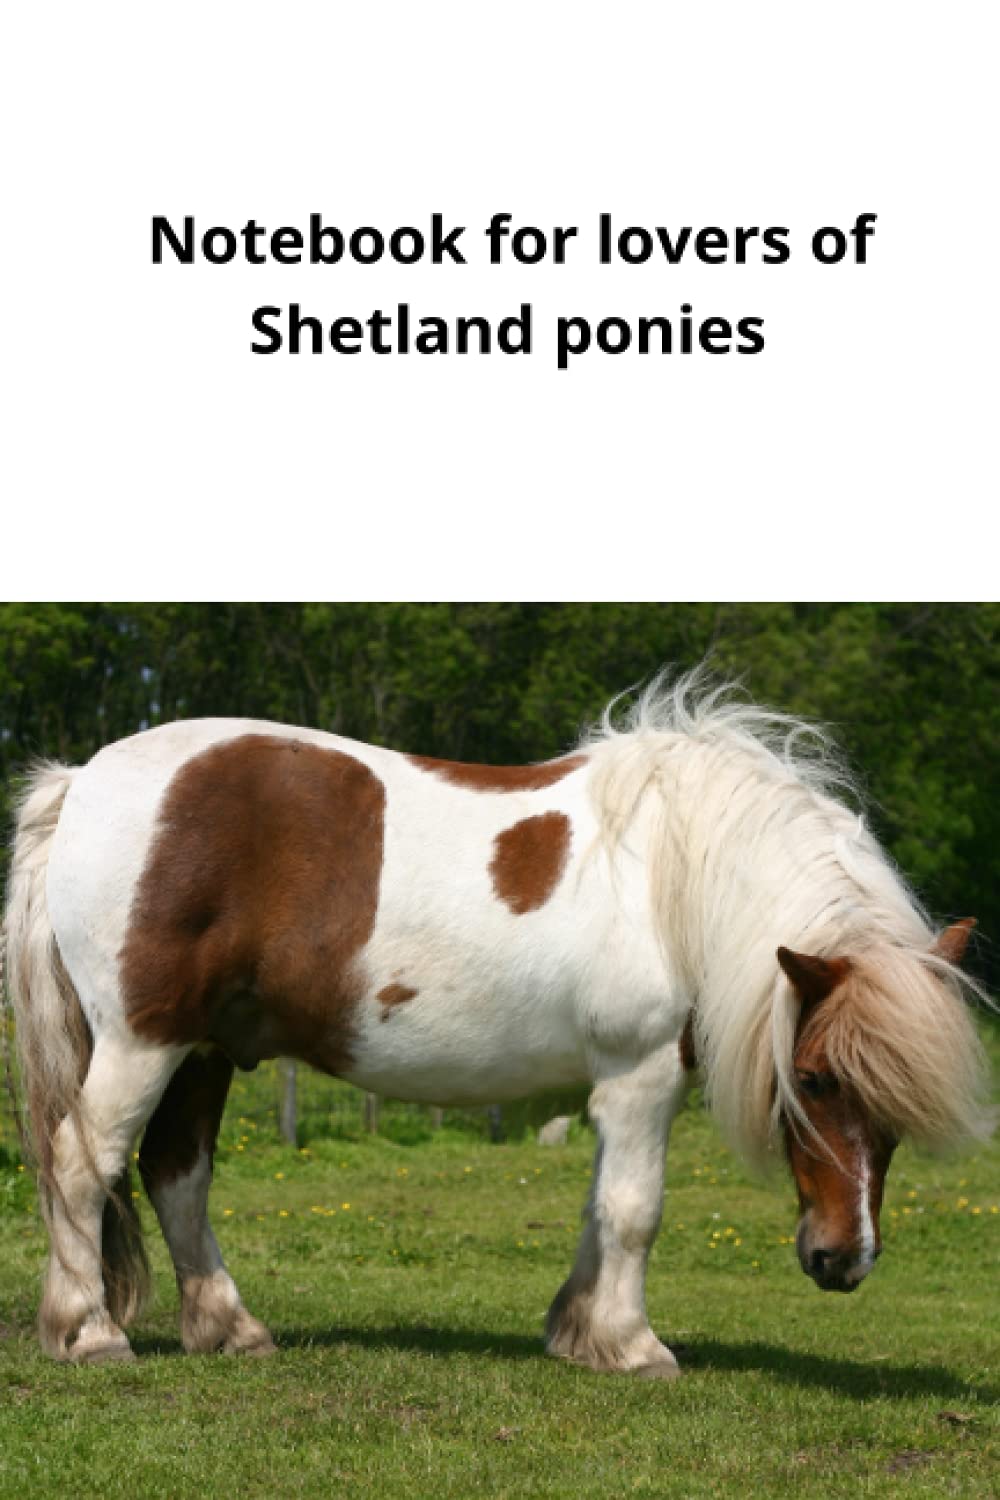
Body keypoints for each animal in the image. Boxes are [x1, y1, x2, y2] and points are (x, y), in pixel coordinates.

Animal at [2, 671, 992, 1374]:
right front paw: (634, 1346)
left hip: (205, 1048)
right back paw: (89, 1332)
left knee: (178, 1176)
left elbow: (600, 1206)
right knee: (82, 1162)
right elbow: (635, 1209)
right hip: (145, 1039)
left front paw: (578, 1332)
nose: (843, 1261)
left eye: (895, 1108)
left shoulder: (612, 1084)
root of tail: (81, 781)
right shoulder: (641, 1073)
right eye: (815, 1080)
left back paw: (229, 1327)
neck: (678, 878)